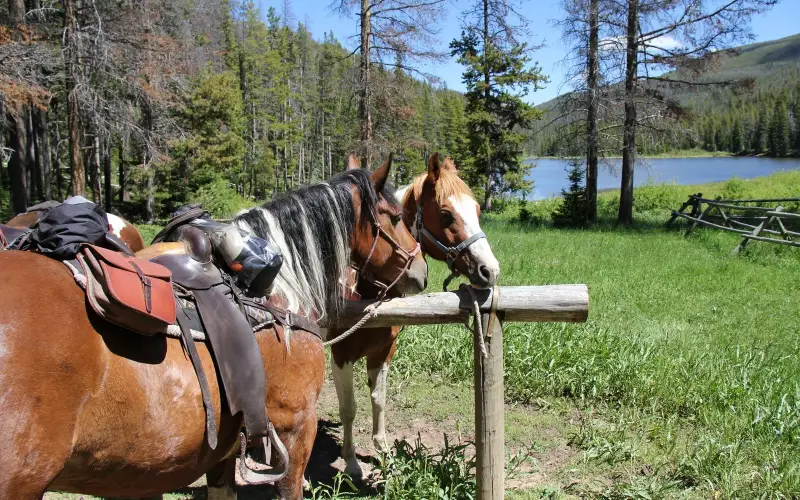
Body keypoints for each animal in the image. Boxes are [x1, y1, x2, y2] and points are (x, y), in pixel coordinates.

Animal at [329, 153, 501, 479]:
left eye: (477, 210)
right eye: (446, 215)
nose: (490, 270)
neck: (366, 290)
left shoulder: (384, 350)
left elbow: (378, 398)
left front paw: (383, 450)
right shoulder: (341, 353)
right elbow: (348, 408)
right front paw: (352, 462)